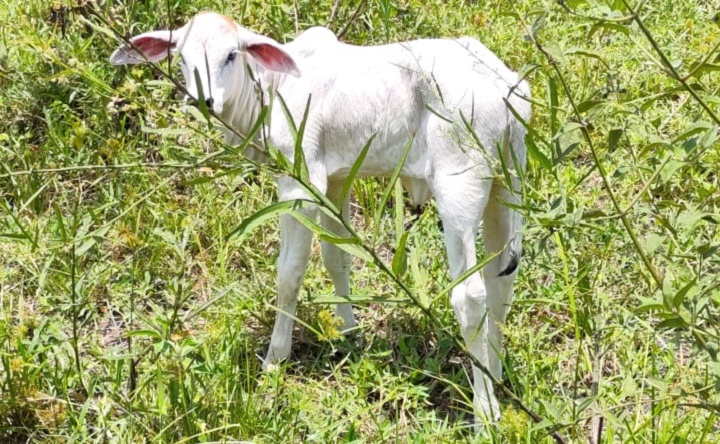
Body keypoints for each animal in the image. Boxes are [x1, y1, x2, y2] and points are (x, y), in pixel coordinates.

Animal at [111, 11, 528, 426]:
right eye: (181, 57)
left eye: (231, 55)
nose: (203, 100)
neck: (273, 88)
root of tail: (505, 86)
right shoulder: (337, 181)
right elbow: (336, 258)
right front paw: (349, 334)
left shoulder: (300, 186)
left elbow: (289, 272)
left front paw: (275, 358)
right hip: (504, 189)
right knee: (501, 283)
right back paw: (497, 377)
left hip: (459, 188)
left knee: (470, 296)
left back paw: (485, 411)